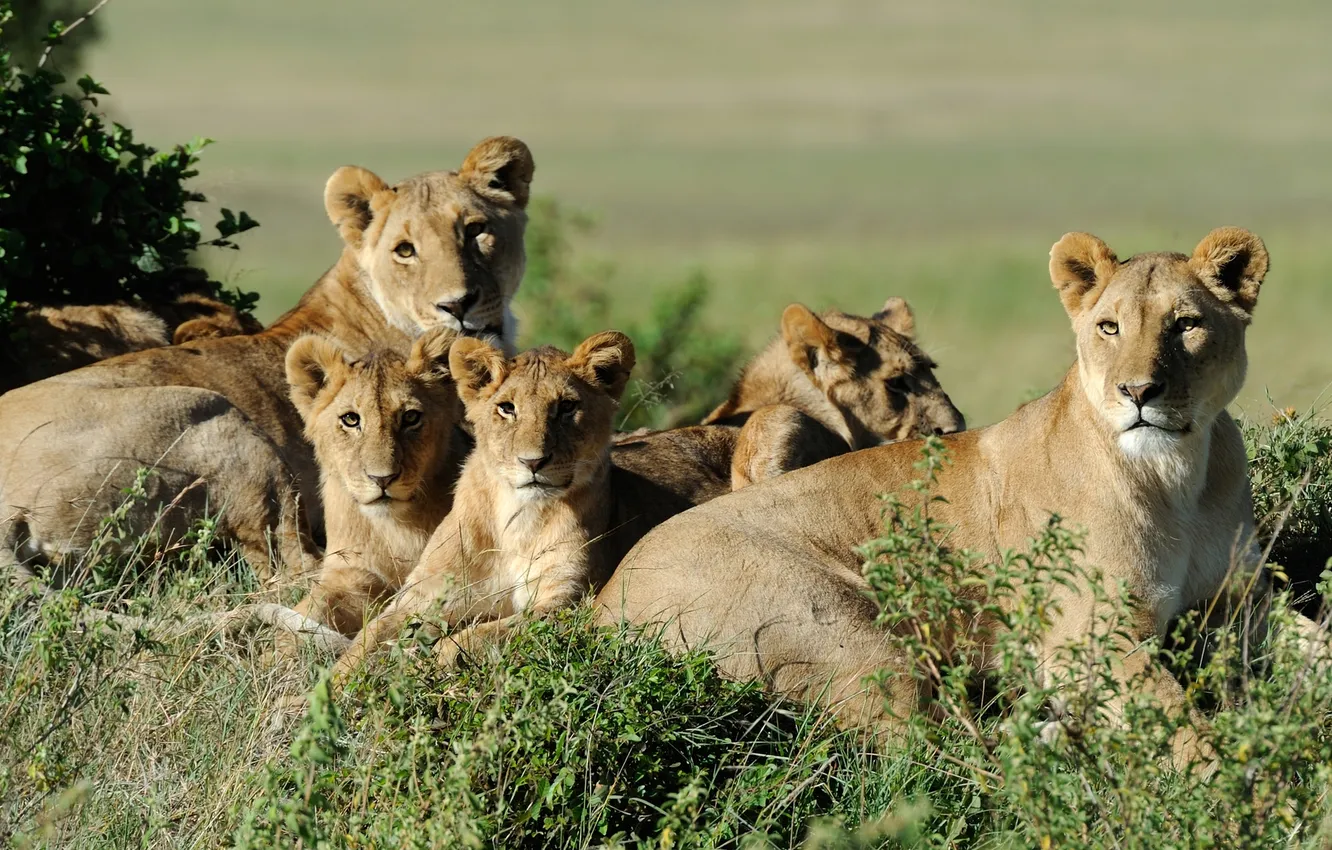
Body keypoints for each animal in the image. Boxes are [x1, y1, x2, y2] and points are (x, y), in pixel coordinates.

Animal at [280, 327, 469, 642]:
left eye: (410, 417)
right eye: (350, 419)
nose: (382, 479)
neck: (394, 529)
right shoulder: (351, 574)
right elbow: (307, 612)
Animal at [329, 331, 636, 682]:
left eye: (567, 407)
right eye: (507, 408)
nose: (533, 462)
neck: (518, 518)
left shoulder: (567, 601)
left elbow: (480, 636)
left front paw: (425, 666)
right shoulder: (422, 595)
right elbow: (367, 640)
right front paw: (329, 689)